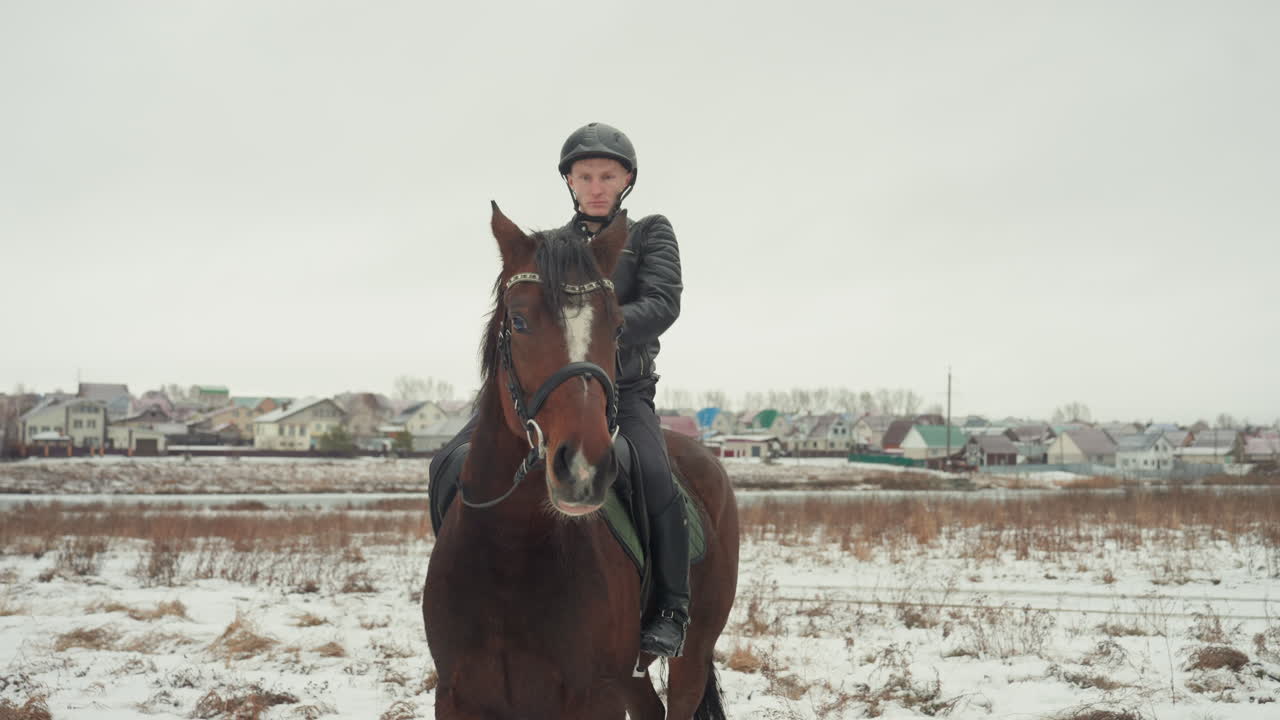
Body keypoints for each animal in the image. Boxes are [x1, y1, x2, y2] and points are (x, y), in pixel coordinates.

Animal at [422, 204, 740, 720]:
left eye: (618, 327)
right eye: (519, 321)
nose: (583, 469)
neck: (510, 548)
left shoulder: (593, 698)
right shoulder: (456, 696)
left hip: (690, 655)